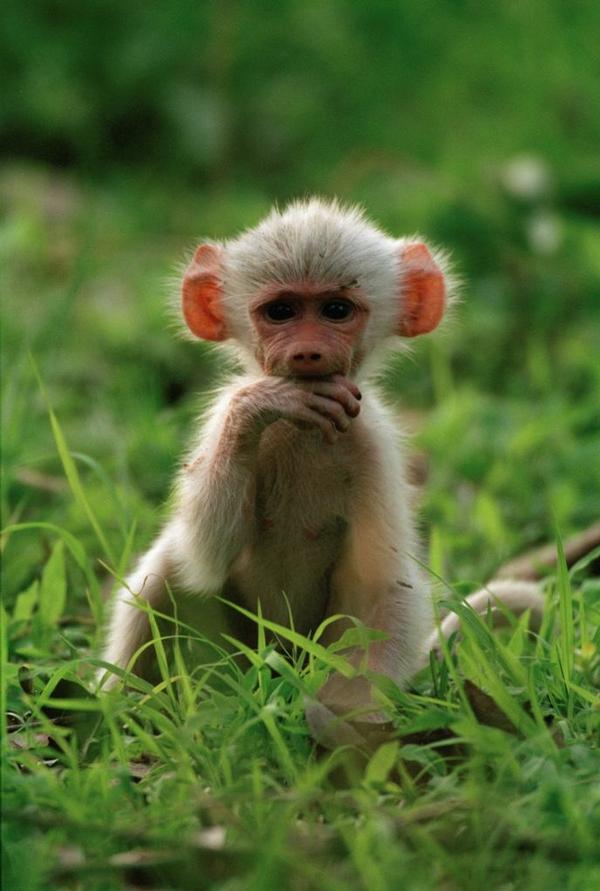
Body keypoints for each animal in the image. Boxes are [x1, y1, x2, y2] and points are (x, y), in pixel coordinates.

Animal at [99, 198, 544, 735]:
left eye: (336, 310)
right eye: (281, 311)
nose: (308, 351)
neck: (304, 432)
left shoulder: (371, 442)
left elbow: (382, 588)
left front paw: (350, 721)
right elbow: (202, 558)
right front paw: (264, 404)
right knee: (162, 576)